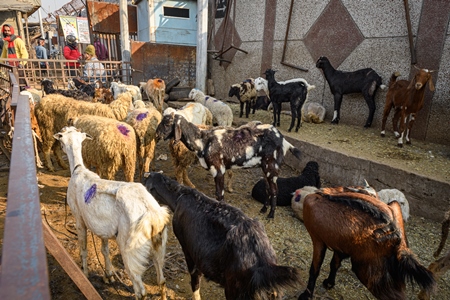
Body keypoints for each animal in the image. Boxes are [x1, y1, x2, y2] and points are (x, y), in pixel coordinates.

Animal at [53, 126, 170, 300]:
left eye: (61, 138)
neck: (78, 170)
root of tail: (151, 213)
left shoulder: (79, 219)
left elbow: (83, 249)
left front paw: (84, 275)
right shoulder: (103, 229)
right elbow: (104, 250)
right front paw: (108, 275)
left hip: (130, 248)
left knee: (140, 290)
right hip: (159, 244)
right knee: (161, 280)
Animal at [156, 112, 302, 218]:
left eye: (167, 123)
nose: (157, 134)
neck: (203, 141)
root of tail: (284, 141)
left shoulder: (219, 170)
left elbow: (219, 194)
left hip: (272, 167)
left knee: (274, 190)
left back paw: (271, 215)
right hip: (264, 167)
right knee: (268, 188)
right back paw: (263, 209)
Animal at [298, 183, 436, 300]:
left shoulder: (318, 240)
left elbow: (315, 269)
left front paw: (306, 295)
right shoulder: (340, 245)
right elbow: (334, 264)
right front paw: (329, 283)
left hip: (368, 271)